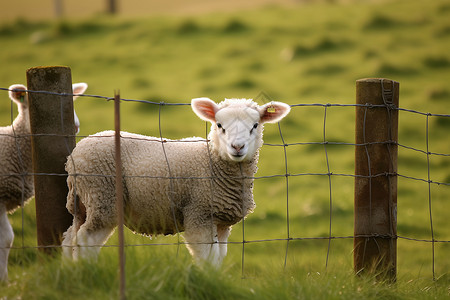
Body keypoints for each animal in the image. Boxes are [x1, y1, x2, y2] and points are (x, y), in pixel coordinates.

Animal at [61, 97, 290, 266]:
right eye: (219, 125)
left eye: (255, 125)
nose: (237, 147)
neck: (212, 161)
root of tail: (73, 157)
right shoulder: (198, 213)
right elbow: (208, 258)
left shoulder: (221, 222)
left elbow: (218, 258)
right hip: (102, 196)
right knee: (86, 240)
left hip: (83, 203)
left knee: (69, 238)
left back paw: (69, 271)